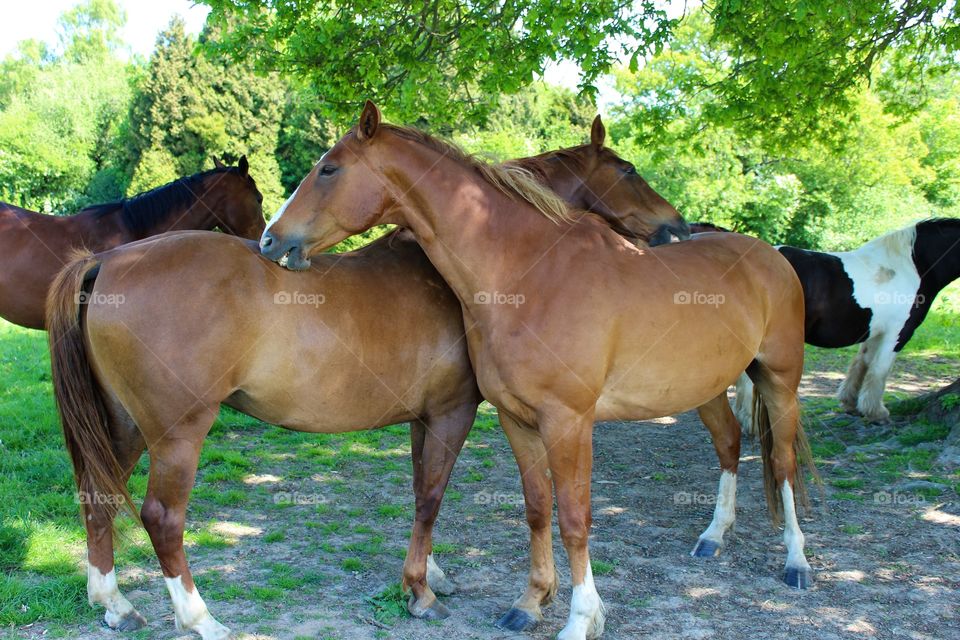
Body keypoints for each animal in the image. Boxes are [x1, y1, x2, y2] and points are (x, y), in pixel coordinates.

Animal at [47, 132, 688, 636]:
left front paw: (431, 576)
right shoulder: (452, 411)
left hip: (123, 425)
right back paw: (200, 619)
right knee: (161, 517)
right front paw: (420, 594)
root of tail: (108, 262)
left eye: (329, 168)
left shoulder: (421, 417)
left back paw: (114, 604)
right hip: (177, 433)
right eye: (627, 170)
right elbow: (431, 496)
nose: (679, 227)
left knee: (97, 495)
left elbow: (420, 490)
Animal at [262, 102, 816, 640]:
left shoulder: (568, 421)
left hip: (780, 382)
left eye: (329, 169)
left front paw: (581, 619)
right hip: (707, 390)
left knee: (782, 463)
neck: (529, 275)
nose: (270, 240)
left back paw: (797, 562)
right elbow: (536, 507)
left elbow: (573, 517)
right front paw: (530, 603)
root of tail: (770, 255)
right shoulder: (517, 418)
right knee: (729, 444)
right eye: (629, 170)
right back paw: (713, 537)